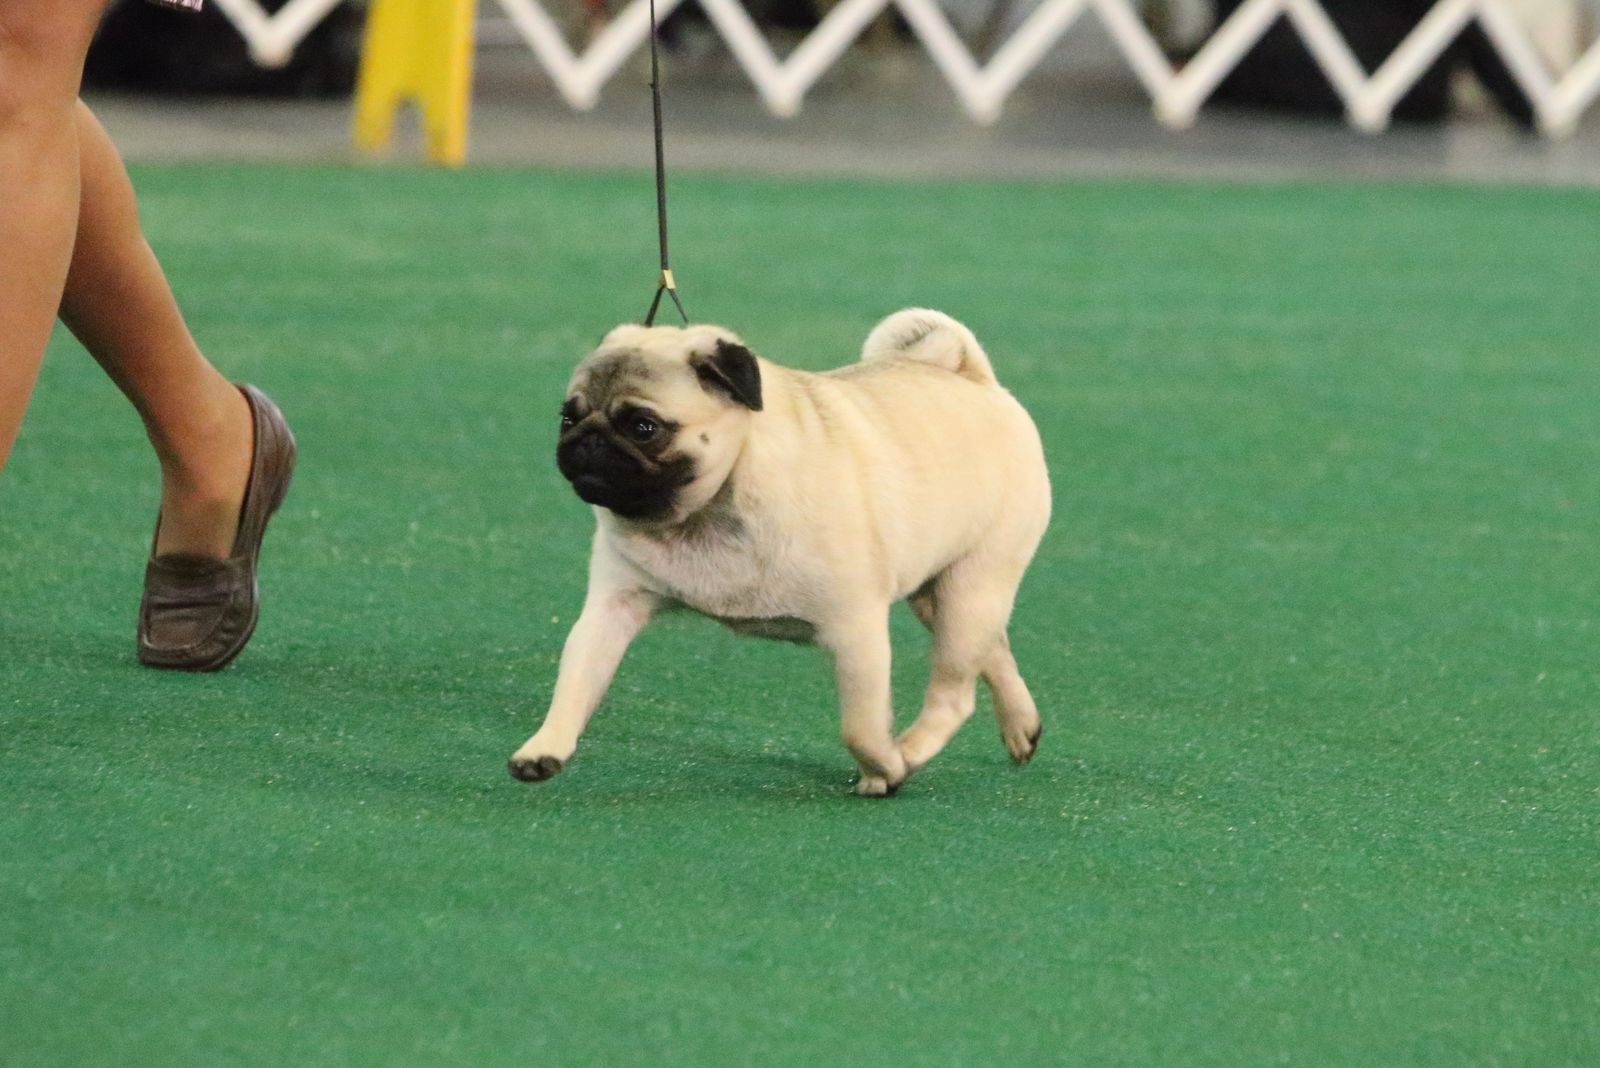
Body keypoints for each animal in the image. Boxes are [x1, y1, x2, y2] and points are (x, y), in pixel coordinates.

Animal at [508, 309, 1051, 796]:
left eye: (644, 427)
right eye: (568, 416)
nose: (587, 441)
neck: (708, 507)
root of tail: (973, 378)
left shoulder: (855, 630)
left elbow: (860, 726)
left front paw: (885, 769)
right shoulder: (611, 609)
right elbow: (576, 679)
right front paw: (545, 748)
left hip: (974, 585)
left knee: (955, 692)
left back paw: (912, 751)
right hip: (938, 593)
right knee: (993, 650)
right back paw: (1021, 728)